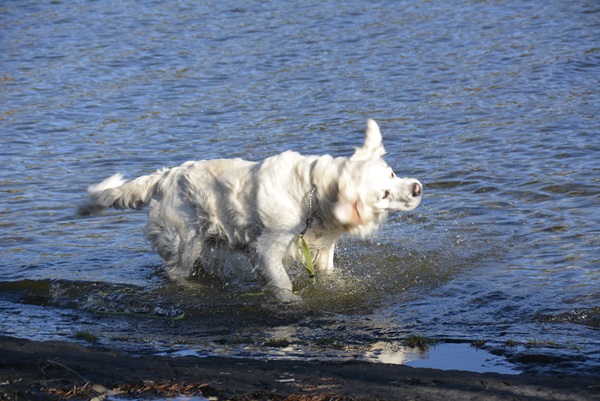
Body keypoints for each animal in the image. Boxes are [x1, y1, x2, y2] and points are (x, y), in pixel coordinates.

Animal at [81, 120, 422, 302]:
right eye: (384, 193)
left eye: (392, 174)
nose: (417, 188)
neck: (311, 194)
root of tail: (164, 176)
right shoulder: (267, 249)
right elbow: (282, 282)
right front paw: (291, 301)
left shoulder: (322, 249)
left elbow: (330, 274)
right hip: (184, 241)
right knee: (175, 273)